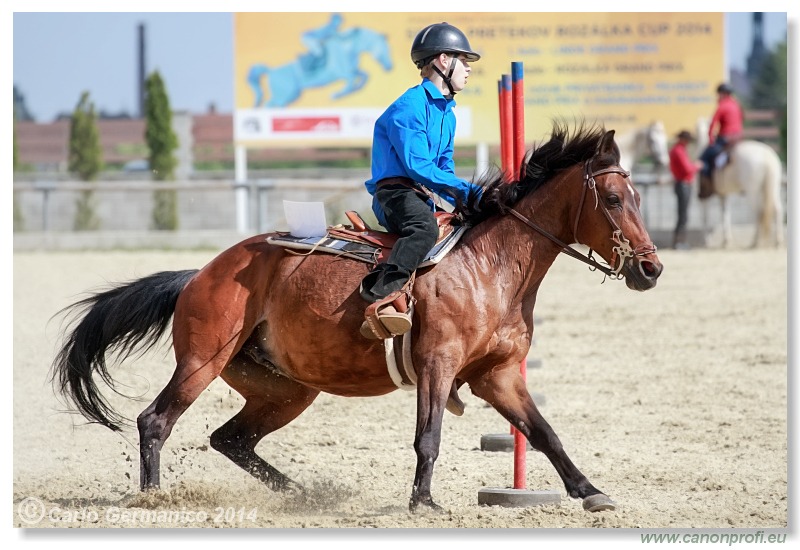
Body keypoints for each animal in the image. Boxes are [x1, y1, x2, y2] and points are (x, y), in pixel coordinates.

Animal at [51, 123, 664, 516]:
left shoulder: (500, 376)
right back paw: (155, 496)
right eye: (613, 199)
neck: (489, 266)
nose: (651, 268)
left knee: (232, 440)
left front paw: (590, 491)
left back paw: (301, 493)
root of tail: (200, 273)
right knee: (155, 421)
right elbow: (428, 437)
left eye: (638, 196)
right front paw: (423, 501)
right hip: (202, 361)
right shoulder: (437, 364)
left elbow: (545, 434)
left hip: (285, 390)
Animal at [247, 26, 390, 108]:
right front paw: (338, 94)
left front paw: (355, 88)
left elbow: (364, 75)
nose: (389, 66)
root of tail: (270, 71)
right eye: (385, 48)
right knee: (271, 105)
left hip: (290, 95)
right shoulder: (344, 74)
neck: (347, 48)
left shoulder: (351, 71)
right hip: (286, 94)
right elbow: (351, 81)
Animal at [696, 119, 784, 251]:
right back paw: (777, 241)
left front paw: (707, 241)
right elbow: (725, 215)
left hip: (752, 192)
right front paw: (726, 241)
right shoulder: (723, 195)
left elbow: (705, 217)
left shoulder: (705, 196)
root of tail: (767, 157)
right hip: (773, 188)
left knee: (758, 212)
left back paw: (755, 242)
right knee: (777, 210)